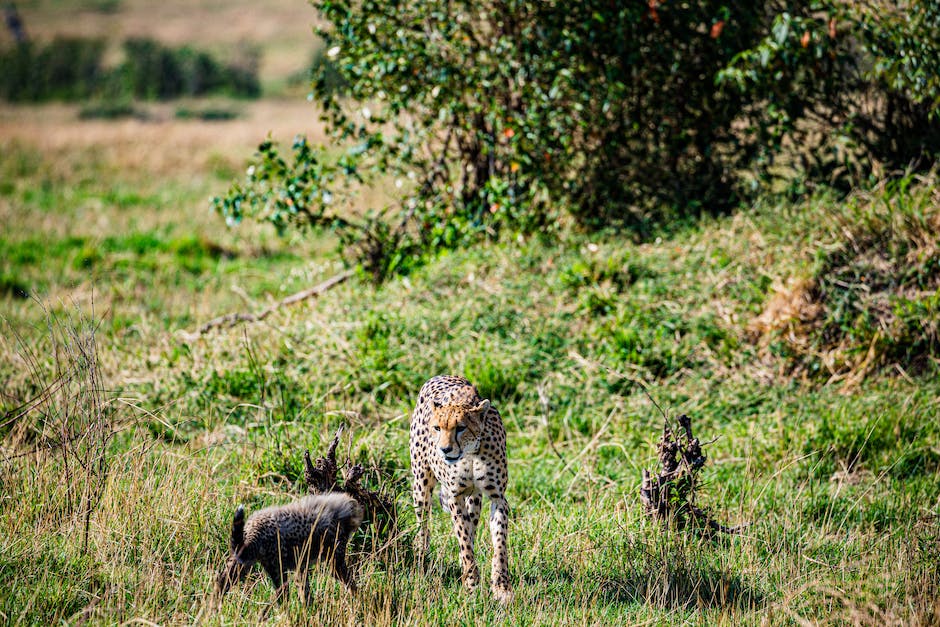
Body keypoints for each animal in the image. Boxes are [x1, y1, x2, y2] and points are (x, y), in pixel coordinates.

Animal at [412, 376, 516, 604]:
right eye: (437, 428)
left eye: (461, 428)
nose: (444, 449)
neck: (471, 454)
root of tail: (440, 375)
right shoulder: (455, 496)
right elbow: (464, 540)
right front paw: (471, 585)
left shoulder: (497, 497)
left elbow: (499, 545)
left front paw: (501, 588)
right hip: (421, 484)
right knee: (423, 524)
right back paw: (421, 559)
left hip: (475, 498)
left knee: (472, 526)